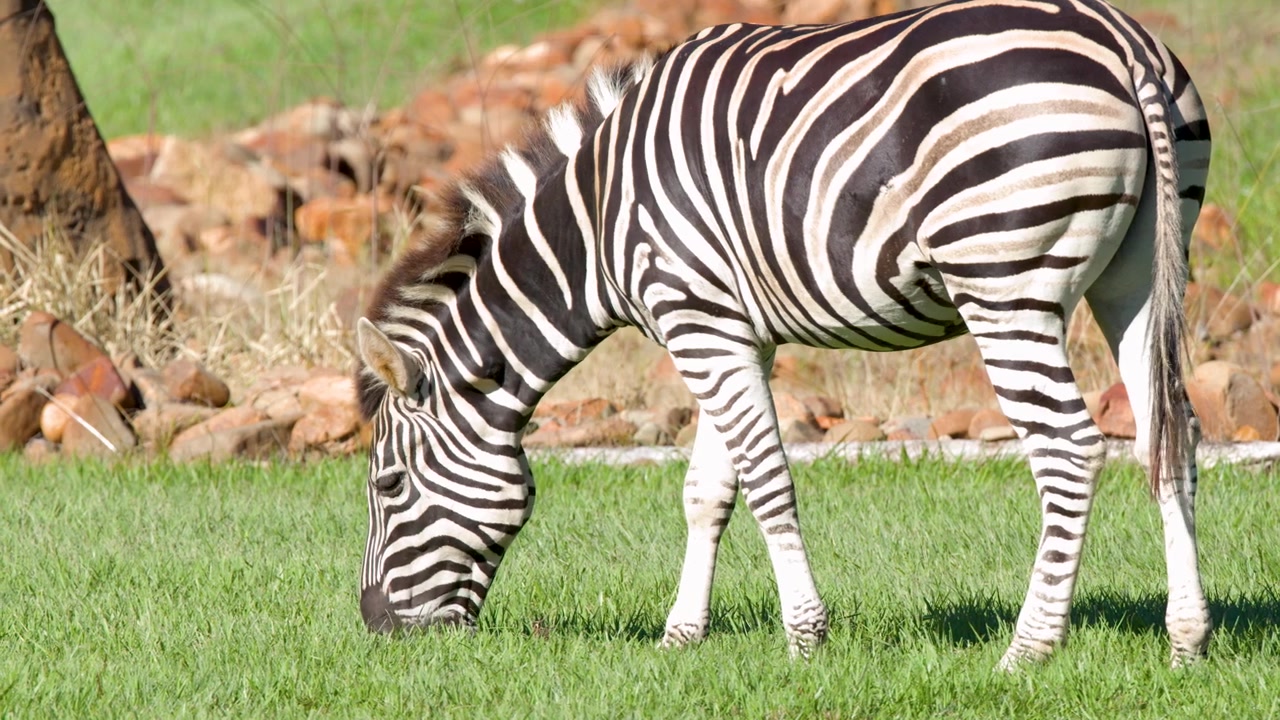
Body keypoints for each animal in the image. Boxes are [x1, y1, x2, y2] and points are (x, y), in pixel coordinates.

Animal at [355, 0, 1211, 669]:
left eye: (387, 485)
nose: (376, 627)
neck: (595, 227)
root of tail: (1120, 38)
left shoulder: (696, 319)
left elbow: (766, 479)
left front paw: (804, 638)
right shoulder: (727, 329)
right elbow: (707, 489)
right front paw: (681, 638)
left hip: (1004, 283)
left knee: (1070, 449)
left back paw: (1027, 650)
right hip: (1137, 275)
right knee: (1169, 438)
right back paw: (1187, 640)